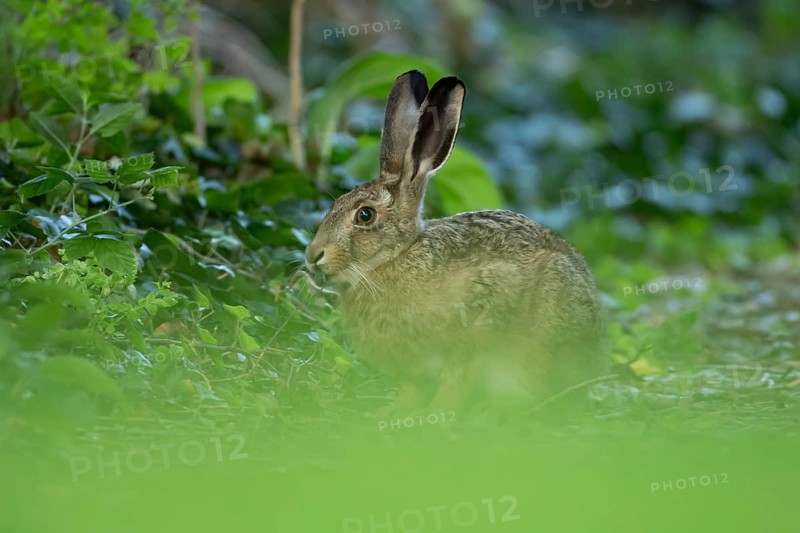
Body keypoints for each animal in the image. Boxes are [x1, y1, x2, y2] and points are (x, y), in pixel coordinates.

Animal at [304, 70, 605, 416]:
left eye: (365, 215)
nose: (312, 255)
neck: (396, 258)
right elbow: (410, 389)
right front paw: (390, 413)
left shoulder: (480, 317)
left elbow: (456, 376)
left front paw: (439, 413)